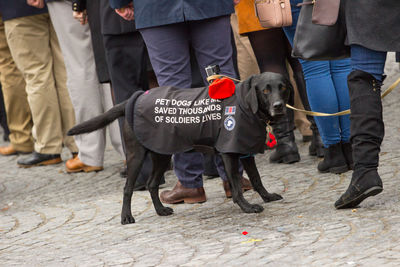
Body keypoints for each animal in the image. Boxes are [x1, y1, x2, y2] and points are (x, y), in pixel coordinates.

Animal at [67, 72, 290, 225]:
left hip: (161, 155)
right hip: (136, 157)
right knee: (128, 188)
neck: (244, 103)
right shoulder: (229, 154)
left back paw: (160, 210)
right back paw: (126, 217)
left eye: (282, 87)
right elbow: (236, 186)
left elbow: (256, 179)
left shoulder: (245, 152)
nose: (279, 106)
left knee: (152, 184)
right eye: (266, 90)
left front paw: (268, 197)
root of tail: (135, 98)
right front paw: (247, 207)